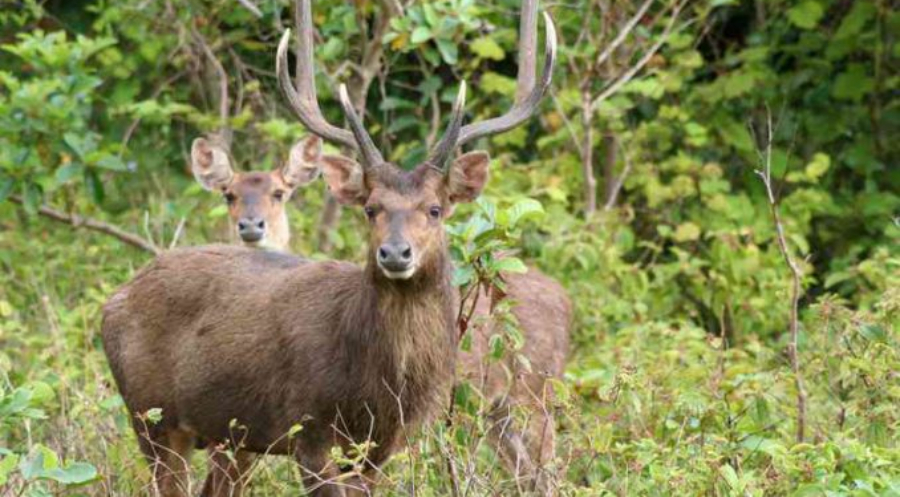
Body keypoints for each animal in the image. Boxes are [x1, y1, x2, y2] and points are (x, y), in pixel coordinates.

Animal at [102, 0, 560, 492]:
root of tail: (114, 299)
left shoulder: (378, 447)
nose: (395, 253)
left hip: (230, 436)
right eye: (371, 208)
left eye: (435, 209)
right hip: (151, 415)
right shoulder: (309, 428)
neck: (374, 388)